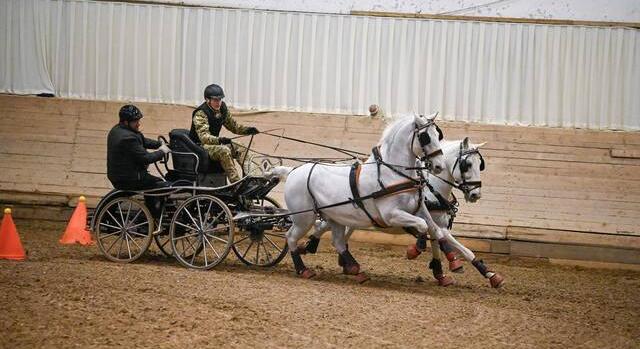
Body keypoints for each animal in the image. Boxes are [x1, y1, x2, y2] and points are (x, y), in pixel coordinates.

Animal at [272, 114, 448, 280]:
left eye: (438, 134)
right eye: (425, 136)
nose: (439, 166)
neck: (392, 173)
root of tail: (292, 171)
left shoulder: (418, 209)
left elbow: (434, 229)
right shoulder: (391, 215)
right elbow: (423, 225)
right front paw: (415, 249)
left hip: (334, 217)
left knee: (338, 241)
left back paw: (353, 268)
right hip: (304, 218)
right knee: (291, 237)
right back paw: (303, 269)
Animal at [298, 137, 502, 286]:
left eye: (480, 164)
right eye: (467, 164)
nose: (475, 194)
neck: (432, 189)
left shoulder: (436, 222)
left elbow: (441, 243)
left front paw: (443, 272)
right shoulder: (431, 221)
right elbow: (452, 244)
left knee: (339, 230)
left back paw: (339, 260)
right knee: (323, 226)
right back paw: (309, 247)